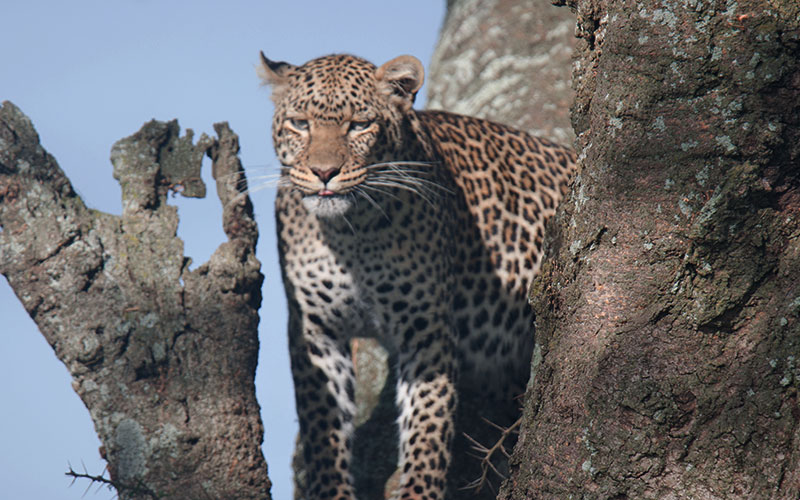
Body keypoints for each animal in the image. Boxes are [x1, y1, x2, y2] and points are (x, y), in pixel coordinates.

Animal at [260, 51, 580, 500]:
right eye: (300, 124)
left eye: (359, 125)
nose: (324, 173)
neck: (349, 235)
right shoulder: (315, 331)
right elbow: (324, 430)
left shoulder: (426, 328)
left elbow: (427, 427)